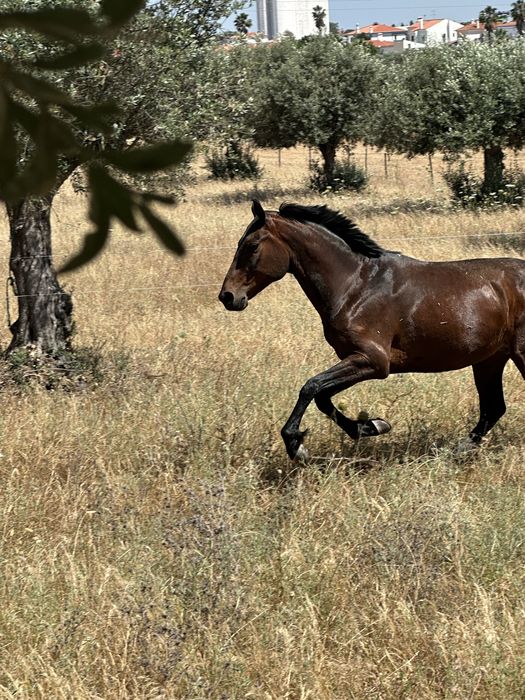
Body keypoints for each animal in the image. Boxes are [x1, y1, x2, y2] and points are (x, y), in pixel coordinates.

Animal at [219, 200, 525, 461]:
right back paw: (456, 451)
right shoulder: (356, 360)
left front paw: (297, 446)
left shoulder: (373, 361)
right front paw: (372, 426)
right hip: (489, 359)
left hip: (517, 354)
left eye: (252, 245)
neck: (357, 285)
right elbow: (322, 397)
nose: (228, 297)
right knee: (493, 409)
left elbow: (311, 387)